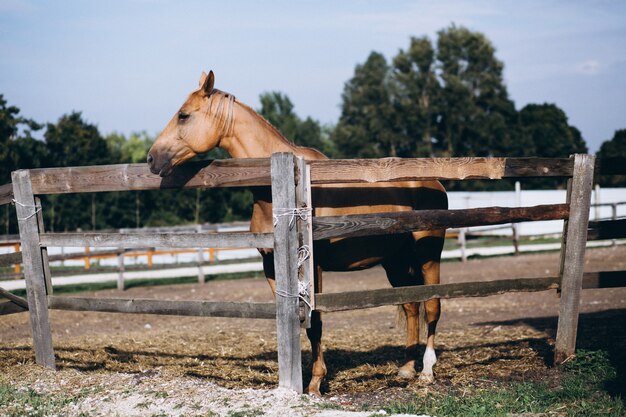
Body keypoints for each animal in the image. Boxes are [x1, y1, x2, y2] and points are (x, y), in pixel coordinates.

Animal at [147, 70, 446, 394]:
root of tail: (433, 182)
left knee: (432, 306)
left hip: (428, 255)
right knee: (411, 306)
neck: (283, 186)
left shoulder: (313, 266)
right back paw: (406, 369)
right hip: (395, 261)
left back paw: (427, 371)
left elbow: (315, 322)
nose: (151, 158)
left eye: (184, 115)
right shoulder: (271, 264)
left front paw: (315, 382)